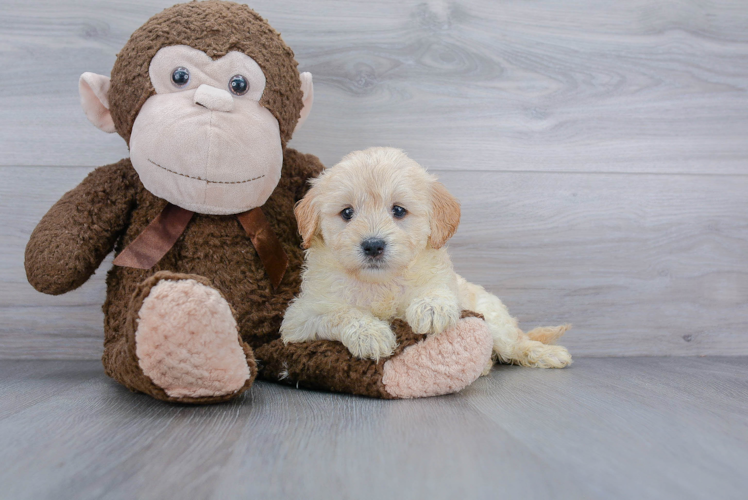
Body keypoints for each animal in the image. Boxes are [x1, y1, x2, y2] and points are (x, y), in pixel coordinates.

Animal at [282, 146, 572, 370]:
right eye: (347, 213)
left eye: (399, 211)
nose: (373, 246)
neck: (380, 283)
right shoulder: (300, 318)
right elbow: (339, 313)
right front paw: (370, 334)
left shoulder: (446, 282)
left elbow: (438, 289)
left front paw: (431, 308)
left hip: (495, 319)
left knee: (514, 344)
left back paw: (546, 353)